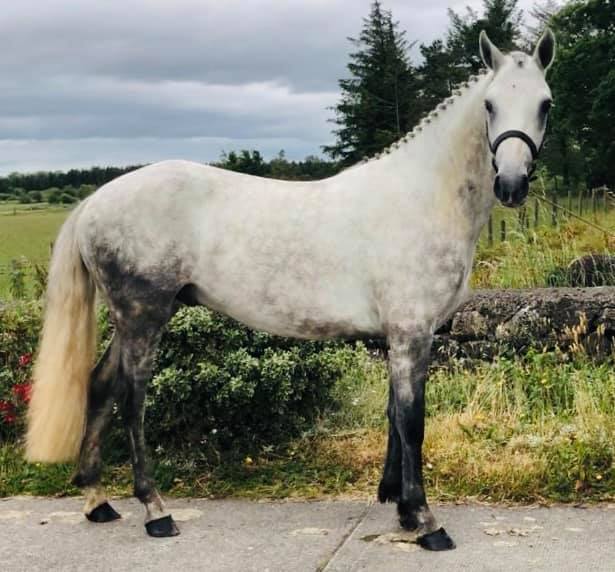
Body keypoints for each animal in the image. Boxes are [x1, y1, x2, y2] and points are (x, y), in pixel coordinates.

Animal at [26, 31, 560, 548]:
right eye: (489, 104)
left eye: (545, 104)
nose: (512, 185)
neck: (420, 197)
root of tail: (96, 200)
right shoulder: (412, 332)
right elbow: (412, 421)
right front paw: (426, 522)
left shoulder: (401, 335)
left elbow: (394, 414)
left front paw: (401, 508)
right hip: (143, 316)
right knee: (132, 400)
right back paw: (156, 511)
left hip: (134, 318)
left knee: (99, 387)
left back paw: (97, 501)